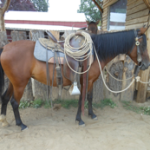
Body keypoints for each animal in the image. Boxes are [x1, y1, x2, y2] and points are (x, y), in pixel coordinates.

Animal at [0, 27, 149, 131]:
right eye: (142, 45)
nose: (146, 65)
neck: (95, 53)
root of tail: (5, 48)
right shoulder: (86, 81)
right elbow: (81, 99)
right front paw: (80, 120)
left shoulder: (90, 81)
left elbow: (89, 97)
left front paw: (91, 114)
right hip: (20, 83)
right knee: (14, 102)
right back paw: (21, 125)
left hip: (13, 82)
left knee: (5, 98)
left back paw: (4, 121)